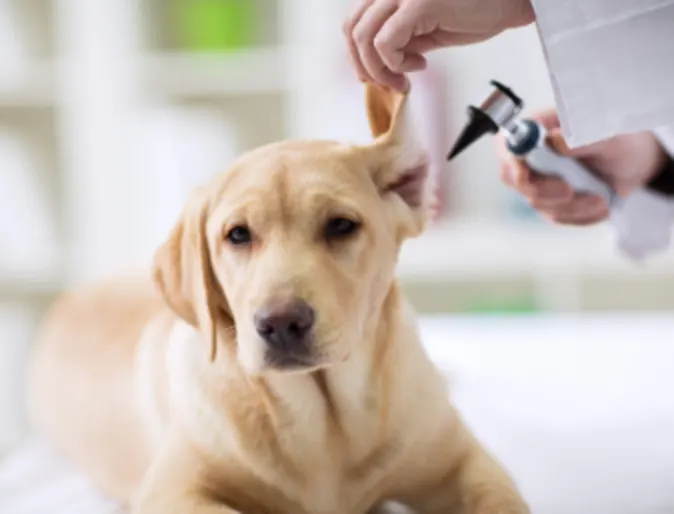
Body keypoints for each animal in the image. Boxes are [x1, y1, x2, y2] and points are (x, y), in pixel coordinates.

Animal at [26, 84, 528, 512]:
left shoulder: (466, 463)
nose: (280, 323)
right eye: (237, 235)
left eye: (341, 225)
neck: (326, 422)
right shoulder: (174, 492)